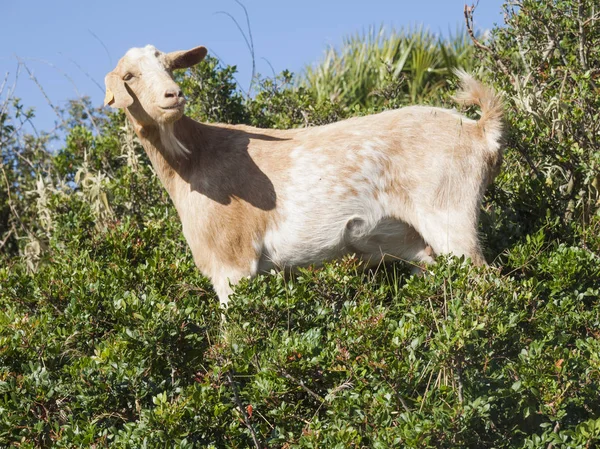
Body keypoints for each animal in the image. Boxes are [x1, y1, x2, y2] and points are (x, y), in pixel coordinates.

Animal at [105, 44, 504, 304]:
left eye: (170, 67)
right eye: (130, 76)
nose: (173, 95)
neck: (193, 160)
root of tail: (479, 131)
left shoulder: (232, 263)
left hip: (449, 214)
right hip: (419, 244)